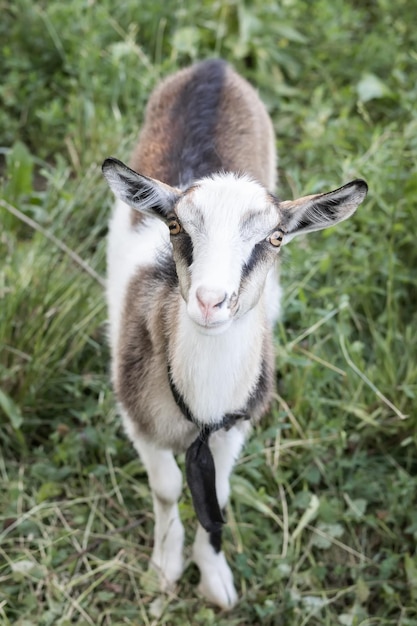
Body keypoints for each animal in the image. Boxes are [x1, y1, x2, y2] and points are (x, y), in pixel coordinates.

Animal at [101, 57, 368, 604]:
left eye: (276, 237)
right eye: (176, 227)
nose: (210, 301)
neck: (199, 407)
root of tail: (215, 65)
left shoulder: (234, 427)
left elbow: (217, 496)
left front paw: (214, 578)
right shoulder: (139, 421)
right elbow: (166, 489)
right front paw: (165, 568)